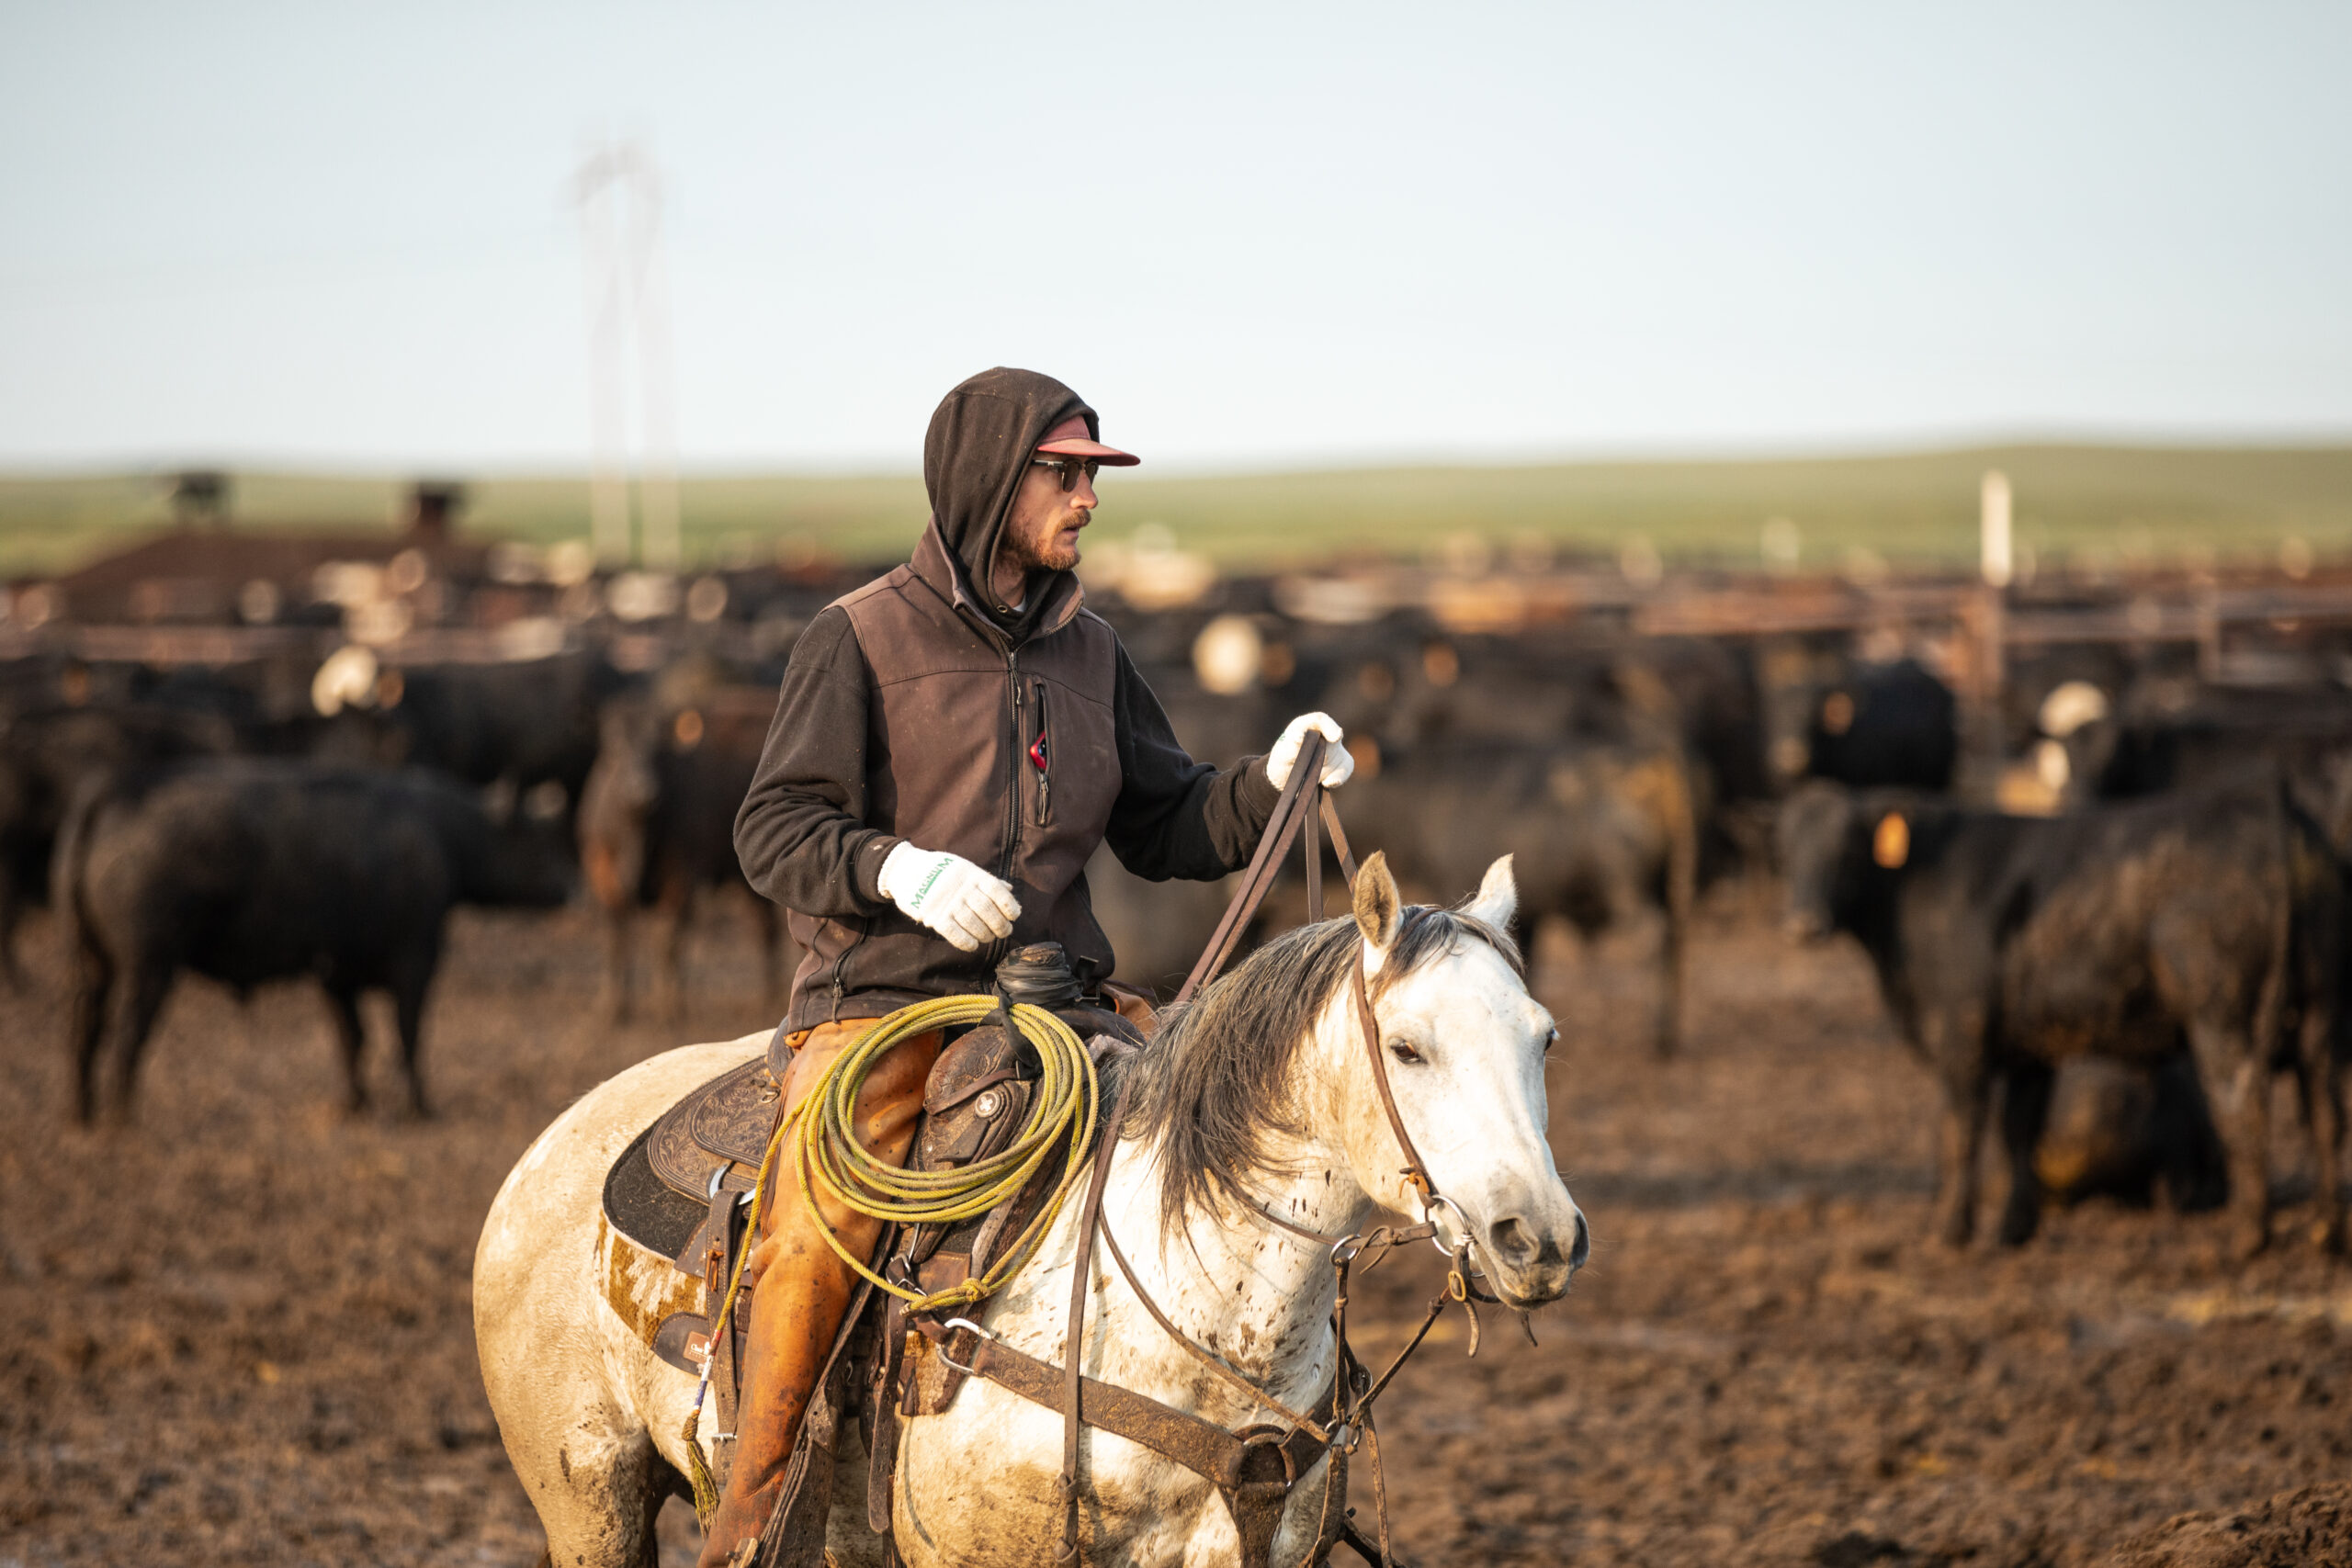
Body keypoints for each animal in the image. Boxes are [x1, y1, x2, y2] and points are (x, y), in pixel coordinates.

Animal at [56, 761, 573, 1123]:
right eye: (539, 838)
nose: (571, 886)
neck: (439, 836)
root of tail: (115, 790)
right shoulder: (415, 962)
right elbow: (407, 1034)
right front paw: (417, 1107)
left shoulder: (335, 974)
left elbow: (352, 1039)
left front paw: (355, 1104)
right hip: (150, 965)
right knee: (129, 1032)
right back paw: (121, 1116)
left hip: (91, 962)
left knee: (85, 1028)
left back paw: (82, 1111)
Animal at [1778, 780, 2333, 1259]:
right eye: (1788, 849)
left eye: (1845, 849)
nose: (1804, 923)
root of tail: (2263, 801)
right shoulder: (2031, 1049)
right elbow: (2018, 1129)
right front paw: (2014, 1230)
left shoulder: (1962, 1039)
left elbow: (1962, 1130)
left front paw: (1950, 1233)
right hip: (2322, 1022)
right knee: (2326, 1110)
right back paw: (2327, 1234)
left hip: (2224, 1020)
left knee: (2244, 1107)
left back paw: (2248, 1239)